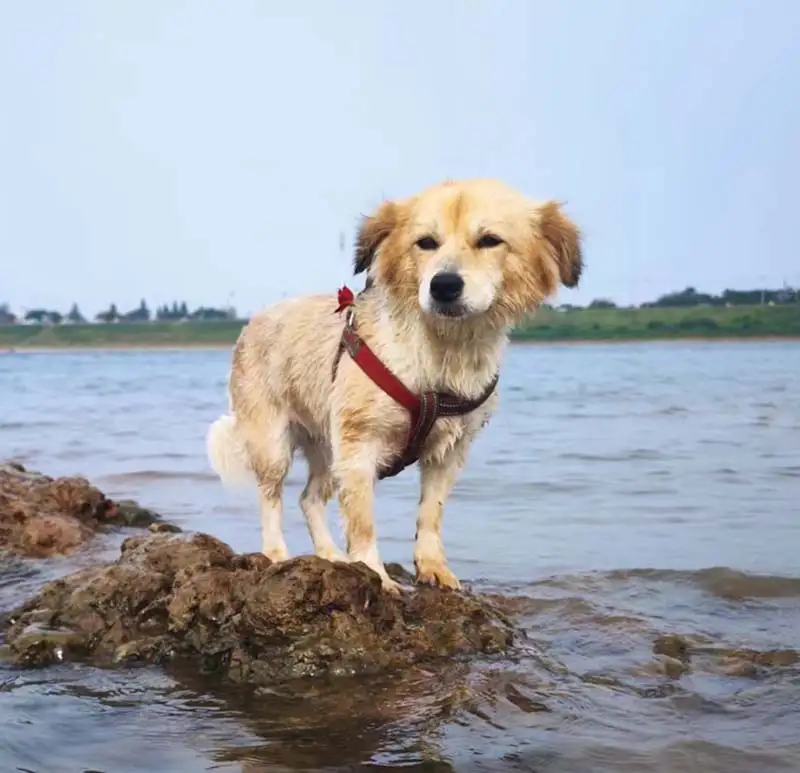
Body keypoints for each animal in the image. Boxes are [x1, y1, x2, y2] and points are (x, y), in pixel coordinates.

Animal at [206, 178, 580, 596]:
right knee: (271, 496)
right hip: (274, 442)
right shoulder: (359, 447)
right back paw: (277, 554)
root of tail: (254, 321)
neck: (442, 352)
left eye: (490, 240)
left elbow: (431, 514)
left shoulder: (449, 452)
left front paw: (435, 569)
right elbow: (363, 522)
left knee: (309, 499)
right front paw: (375, 575)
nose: (444, 285)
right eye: (426, 242)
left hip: (326, 448)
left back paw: (331, 556)